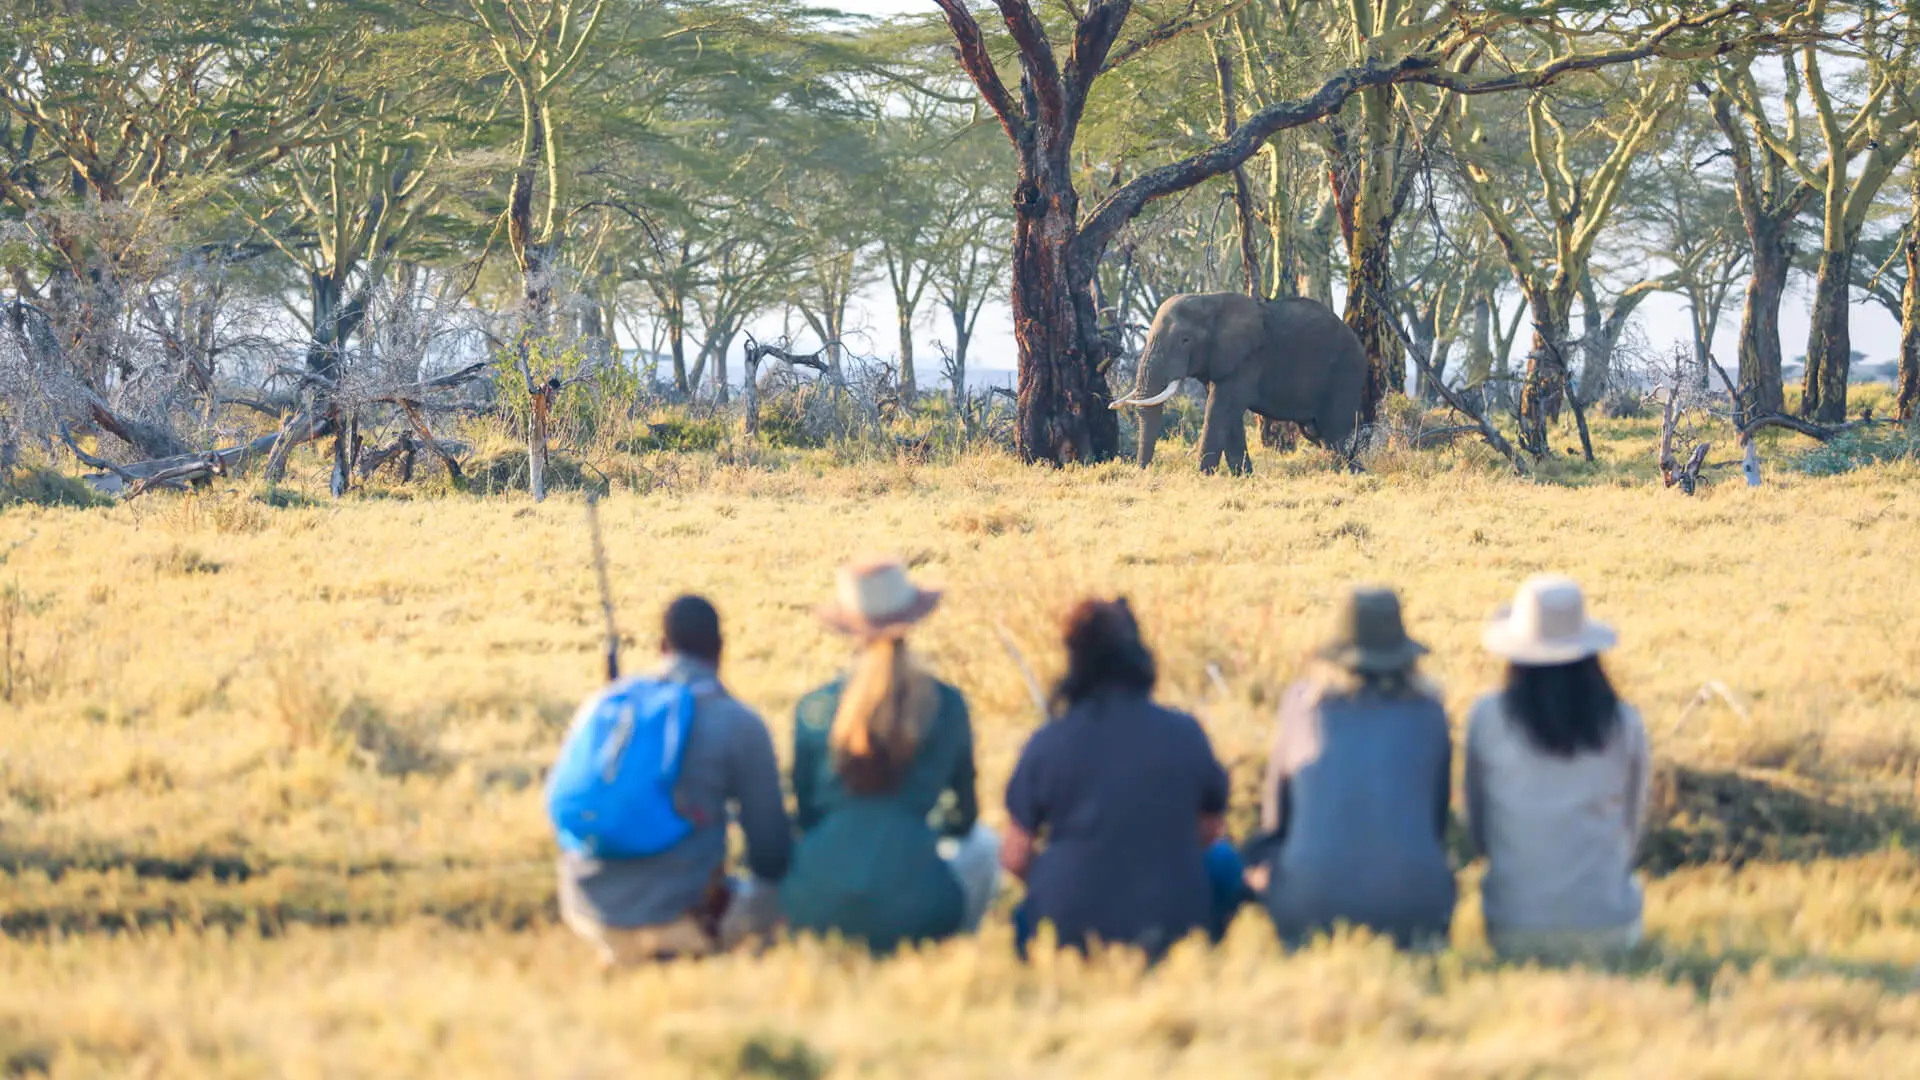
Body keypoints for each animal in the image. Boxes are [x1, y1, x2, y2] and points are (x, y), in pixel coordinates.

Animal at [1109, 292, 1368, 475]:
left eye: (1185, 340)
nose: (1143, 471)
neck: (1209, 299)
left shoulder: (1247, 359)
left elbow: (1221, 408)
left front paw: (1203, 476)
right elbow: (1226, 412)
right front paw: (1242, 476)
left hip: (1346, 371)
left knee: (1334, 431)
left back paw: (1343, 472)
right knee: (1318, 432)